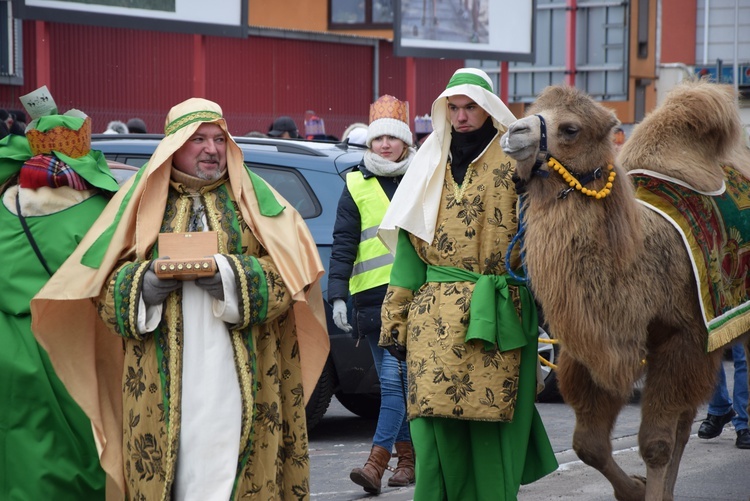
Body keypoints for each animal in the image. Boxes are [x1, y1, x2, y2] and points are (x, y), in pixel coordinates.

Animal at [502, 79, 750, 500]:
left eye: (570, 128)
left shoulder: (683, 337)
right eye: (532, 109)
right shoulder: (593, 346)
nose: (514, 131)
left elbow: (655, 443)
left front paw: (647, 487)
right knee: (685, 423)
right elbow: (588, 444)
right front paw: (636, 488)